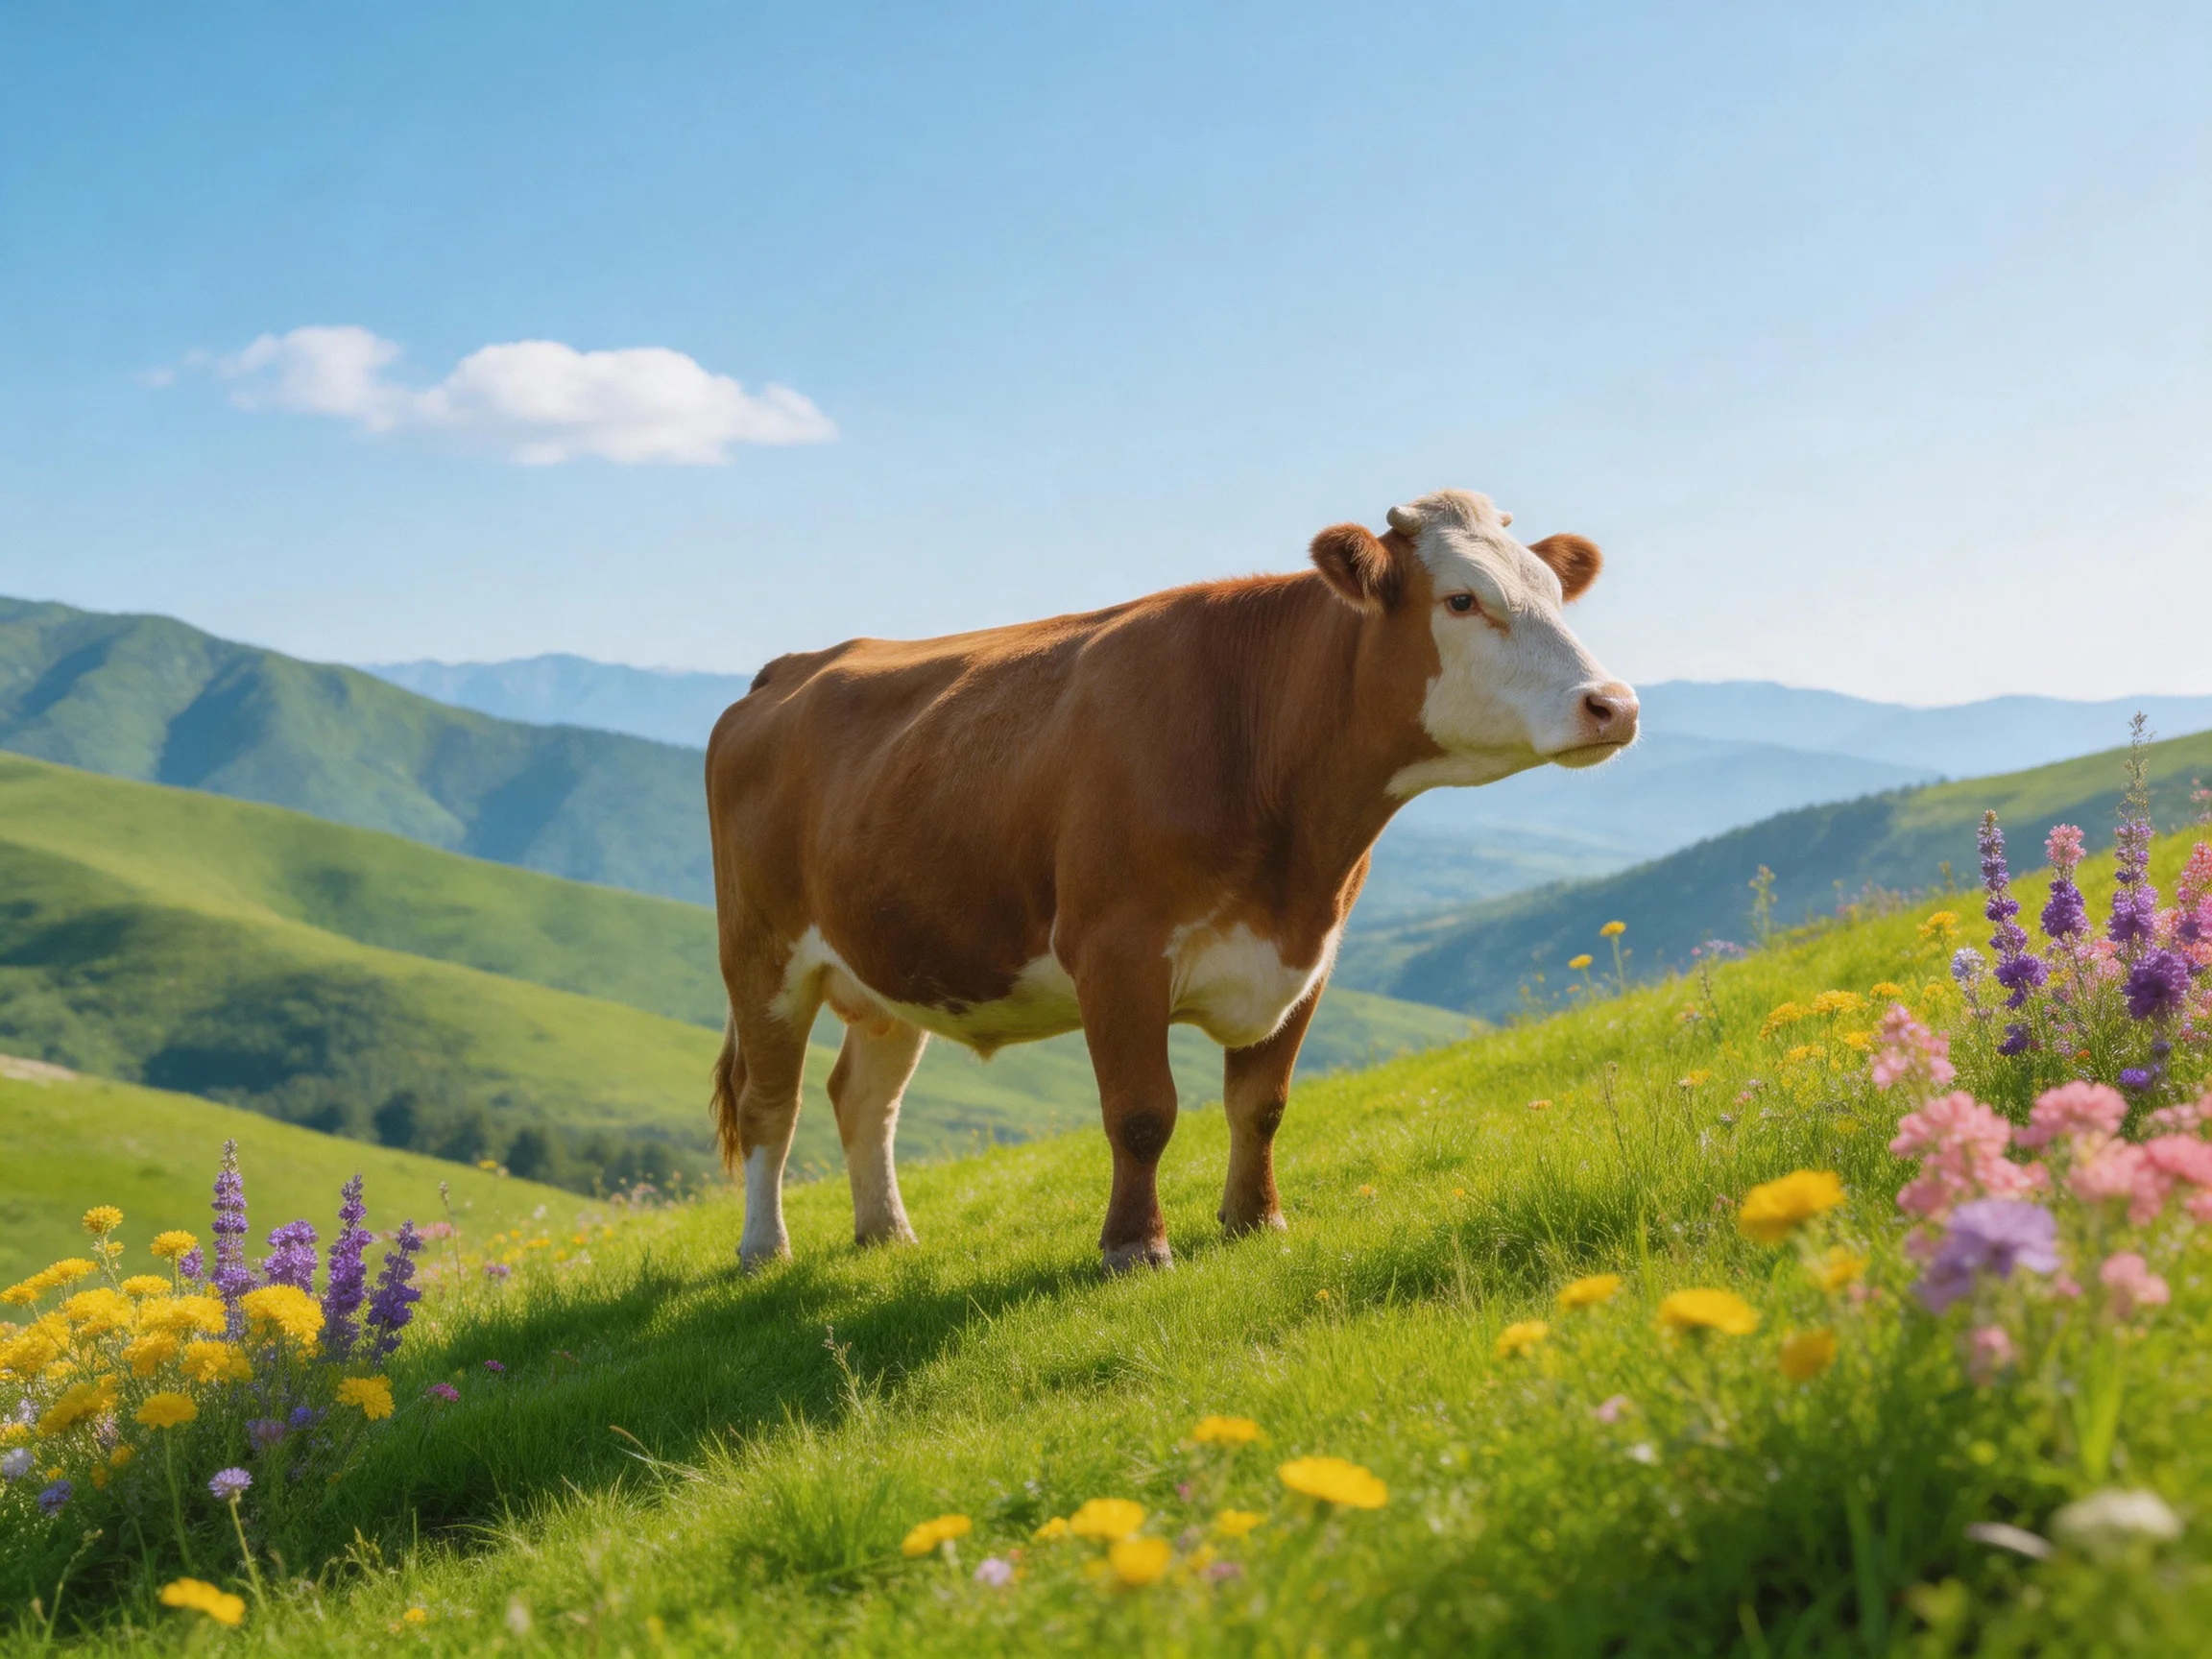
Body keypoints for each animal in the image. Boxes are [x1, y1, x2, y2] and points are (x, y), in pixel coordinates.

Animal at [705, 488, 1636, 1273]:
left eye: (1554, 593)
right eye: (1462, 600)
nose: (1614, 704)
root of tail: (790, 666)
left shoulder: (1309, 953)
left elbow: (1262, 1103)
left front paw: (1255, 1220)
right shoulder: (1115, 950)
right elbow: (1143, 1111)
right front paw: (1134, 1247)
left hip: (891, 960)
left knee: (862, 1098)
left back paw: (888, 1234)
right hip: (759, 954)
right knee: (768, 1105)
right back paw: (763, 1249)